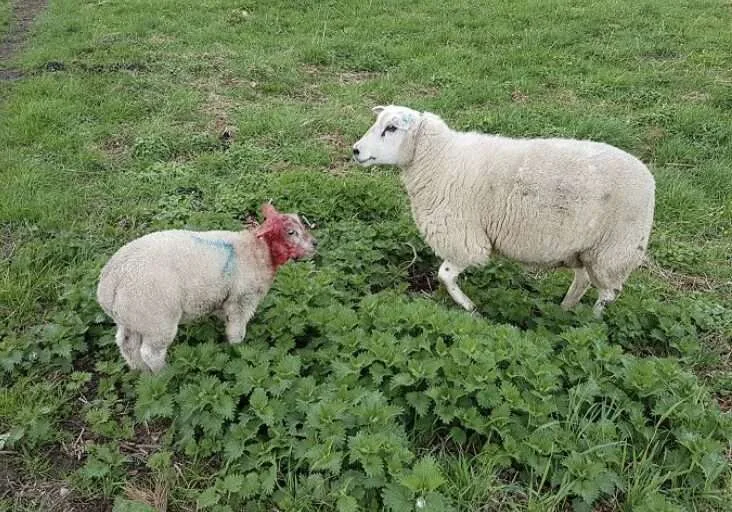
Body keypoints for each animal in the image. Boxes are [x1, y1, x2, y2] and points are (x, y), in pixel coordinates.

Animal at [96, 203, 317, 372]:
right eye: (291, 232)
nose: (315, 243)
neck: (258, 252)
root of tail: (110, 282)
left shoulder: (225, 299)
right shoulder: (242, 300)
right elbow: (236, 332)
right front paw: (238, 351)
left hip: (132, 318)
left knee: (127, 345)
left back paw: (141, 373)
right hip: (157, 318)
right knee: (151, 353)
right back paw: (163, 375)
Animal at [352, 105, 655, 318]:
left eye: (391, 128)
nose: (355, 150)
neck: (439, 158)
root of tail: (649, 179)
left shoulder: (465, 238)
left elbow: (445, 274)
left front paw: (469, 307)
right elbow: (444, 276)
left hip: (615, 250)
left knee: (608, 293)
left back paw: (592, 322)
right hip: (585, 248)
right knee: (583, 281)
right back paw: (565, 309)